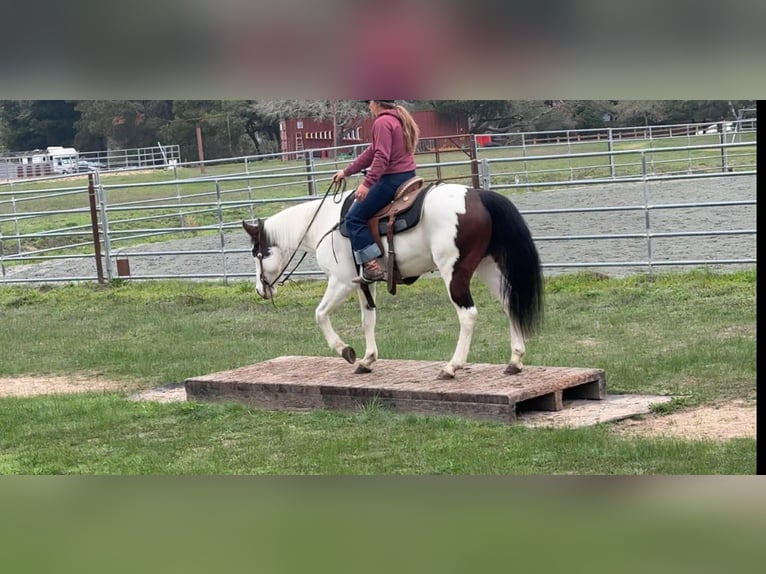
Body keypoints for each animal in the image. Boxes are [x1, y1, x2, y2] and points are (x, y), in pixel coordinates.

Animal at [242, 182, 544, 380]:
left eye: (258, 253)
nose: (259, 290)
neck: (323, 224)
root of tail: (478, 195)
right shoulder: (364, 283)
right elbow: (368, 320)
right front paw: (367, 361)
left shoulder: (341, 282)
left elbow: (320, 314)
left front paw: (346, 351)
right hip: (487, 266)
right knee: (510, 303)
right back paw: (515, 361)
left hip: (455, 272)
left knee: (468, 315)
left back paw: (451, 367)